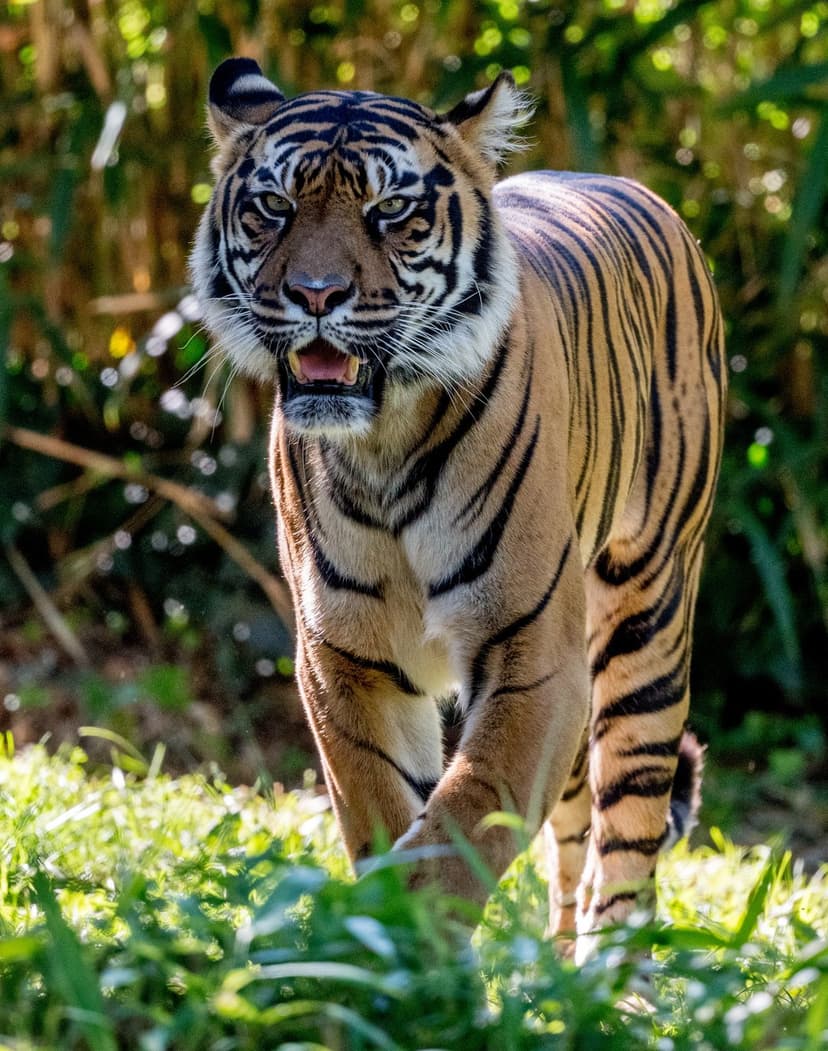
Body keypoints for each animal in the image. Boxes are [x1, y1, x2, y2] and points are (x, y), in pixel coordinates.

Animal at [190, 57, 726, 958]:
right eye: (275, 206)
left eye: (389, 211)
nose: (315, 294)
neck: (384, 443)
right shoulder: (346, 658)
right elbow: (386, 810)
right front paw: (383, 948)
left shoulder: (533, 653)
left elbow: (467, 819)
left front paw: (415, 947)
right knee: (573, 836)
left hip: (645, 619)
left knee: (629, 828)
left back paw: (615, 974)